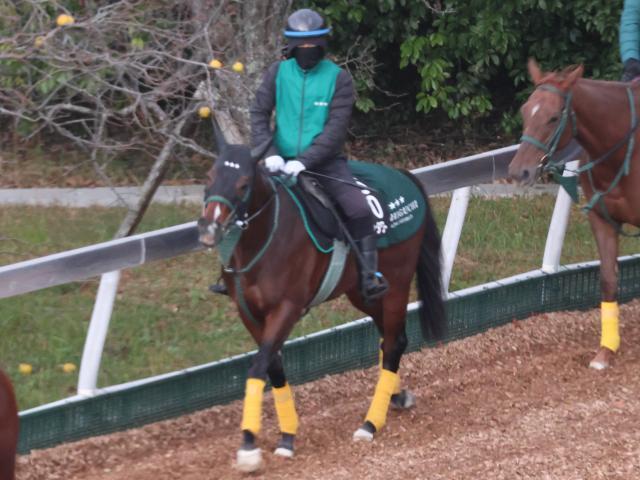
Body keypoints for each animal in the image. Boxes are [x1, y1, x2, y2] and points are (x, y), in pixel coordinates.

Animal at [199, 127, 444, 472]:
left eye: (243, 183)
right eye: (209, 177)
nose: (208, 229)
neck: (265, 239)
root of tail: (403, 175)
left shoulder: (286, 308)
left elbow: (258, 366)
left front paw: (248, 444)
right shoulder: (249, 313)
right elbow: (273, 365)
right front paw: (287, 435)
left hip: (396, 283)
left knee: (395, 341)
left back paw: (371, 423)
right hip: (362, 293)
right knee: (390, 339)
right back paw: (396, 396)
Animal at [510, 58, 640, 370]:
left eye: (553, 117)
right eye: (525, 110)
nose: (519, 172)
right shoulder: (602, 219)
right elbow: (607, 280)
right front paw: (605, 351)